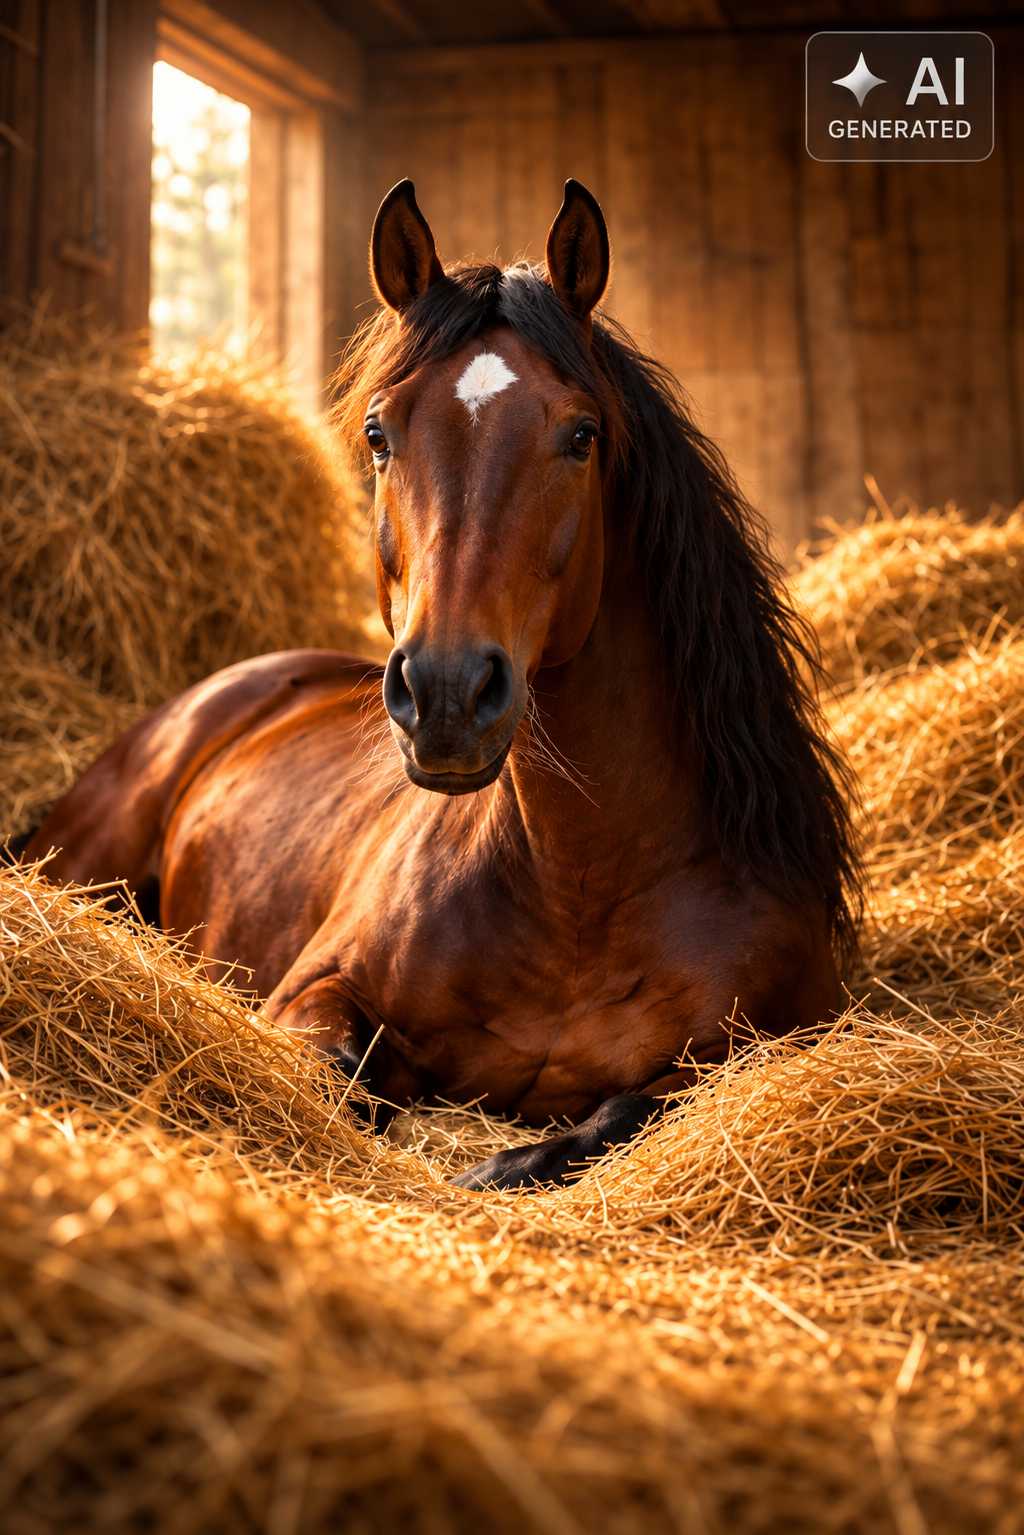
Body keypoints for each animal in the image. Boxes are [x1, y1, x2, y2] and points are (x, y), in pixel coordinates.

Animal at [25, 178, 861, 1190]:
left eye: (580, 435)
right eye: (380, 433)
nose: (447, 693)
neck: (578, 892)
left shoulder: (773, 1040)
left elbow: (626, 1109)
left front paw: (496, 1164)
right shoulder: (313, 990)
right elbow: (339, 1079)